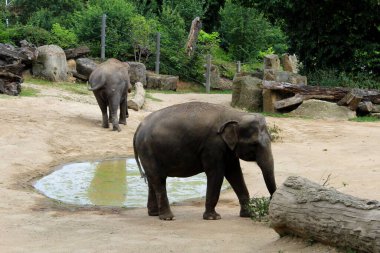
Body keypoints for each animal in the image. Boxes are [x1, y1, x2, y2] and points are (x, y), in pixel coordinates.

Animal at [134, 102, 276, 220]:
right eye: (254, 144)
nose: (269, 203)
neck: (236, 114)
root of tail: (139, 127)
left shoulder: (228, 149)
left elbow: (235, 173)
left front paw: (249, 215)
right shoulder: (213, 145)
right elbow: (217, 173)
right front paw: (213, 217)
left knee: (152, 179)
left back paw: (154, 214)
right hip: (148, 150)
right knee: (158, 179)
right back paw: (168, 217)